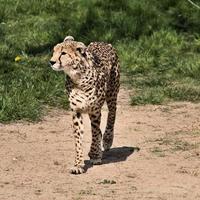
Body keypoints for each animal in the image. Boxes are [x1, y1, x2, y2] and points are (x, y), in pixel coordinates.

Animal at [49, 35, 120, 173]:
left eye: (63, 53)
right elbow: (78, 138)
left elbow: (95, 133)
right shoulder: (76, 112)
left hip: (112, 94)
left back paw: (107, 140)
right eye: (54, 51)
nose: (51, 62)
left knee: (112, 114)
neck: (78, 77)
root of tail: (102, 42)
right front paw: (78, 164)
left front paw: (95, 155)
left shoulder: (95, 111)